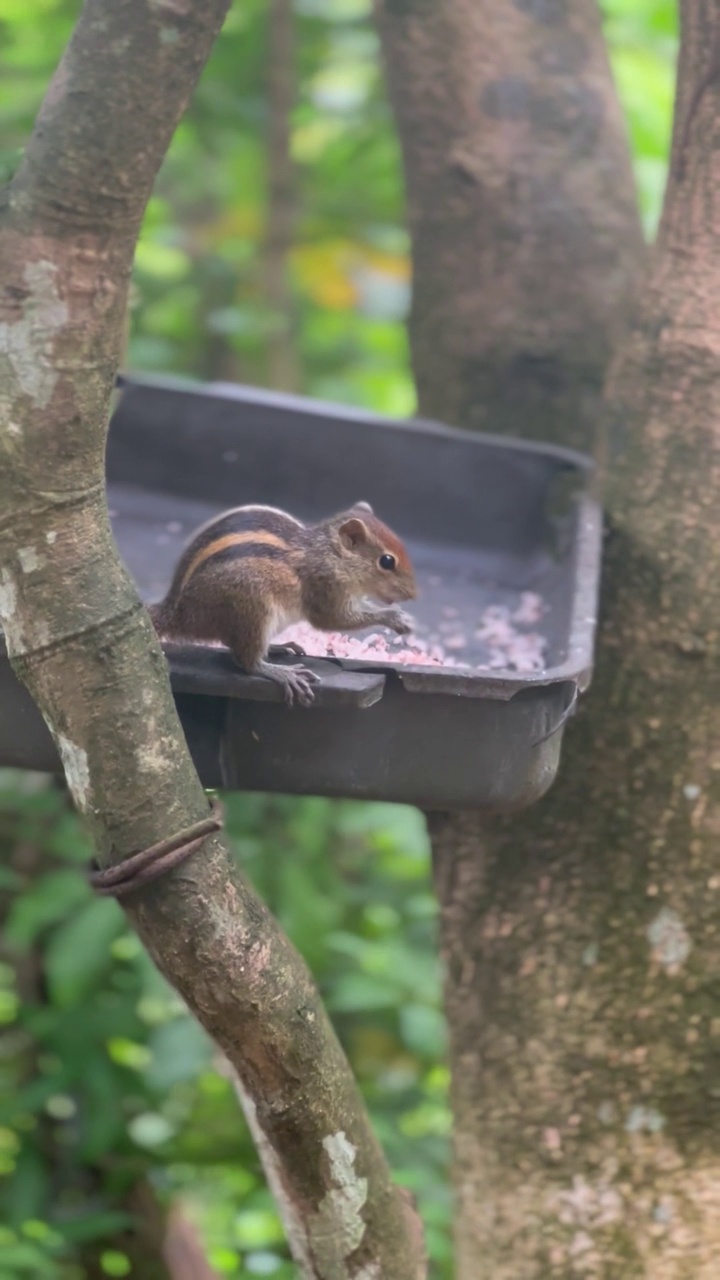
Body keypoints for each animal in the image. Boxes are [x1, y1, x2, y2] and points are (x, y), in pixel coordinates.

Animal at [147, 499, 415, 706]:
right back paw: (282, 673)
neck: (330, 554)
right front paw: (393, 617)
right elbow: (335, 620)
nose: (414, 594)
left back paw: (278, 647)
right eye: (387, 561)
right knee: (246, 662)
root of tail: (178, 611)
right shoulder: (326, 588)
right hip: (253, 607)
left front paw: (403, 617)